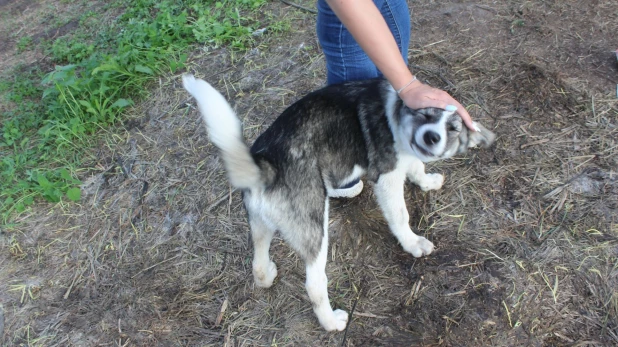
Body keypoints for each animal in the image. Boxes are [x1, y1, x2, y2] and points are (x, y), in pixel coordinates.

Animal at [180, 76, 494, 332]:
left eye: (453, 129)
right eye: (425, 113)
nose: (431, 136)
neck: (395, 113)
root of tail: (267, 164)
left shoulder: (407, 158)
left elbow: (417, 166)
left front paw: (427, 181)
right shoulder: (387, 178)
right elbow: (400, 215)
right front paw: (413, 243)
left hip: (260, 223)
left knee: (257, 257)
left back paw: (266, 274)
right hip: (316, 231)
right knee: (315, 284)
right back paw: (331, 322)